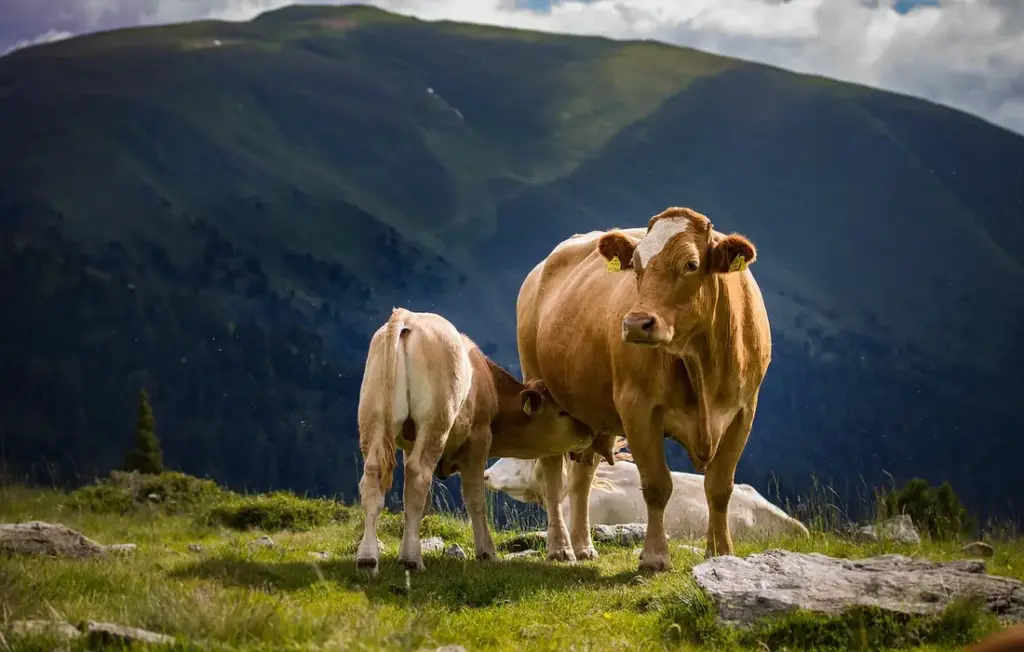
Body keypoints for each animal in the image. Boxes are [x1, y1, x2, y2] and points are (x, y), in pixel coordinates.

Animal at [355, 307, 593, 574]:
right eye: (562, 411)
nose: (589, 431)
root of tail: (408, 318)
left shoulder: (409, 444)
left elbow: (420, 503)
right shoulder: (479, 439)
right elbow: (475, 498)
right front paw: (487, 552)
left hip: (373, 418)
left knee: (373, 476)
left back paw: (367, 558)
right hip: (435, 423)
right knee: (418, 475)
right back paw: (411, 559)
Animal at [516, 206, 772, 572]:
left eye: (691, 264)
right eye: (635, 265)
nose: (636, 323)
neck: (702, 366)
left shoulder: (743, 411)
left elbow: (720, 487)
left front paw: (721, 552)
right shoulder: (638, 408)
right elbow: (656, 485)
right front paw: (655, 556)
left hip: (589, 412)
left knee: (583, 475)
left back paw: (583, 545)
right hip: (541, 390)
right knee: (552, 474)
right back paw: (560, 548)